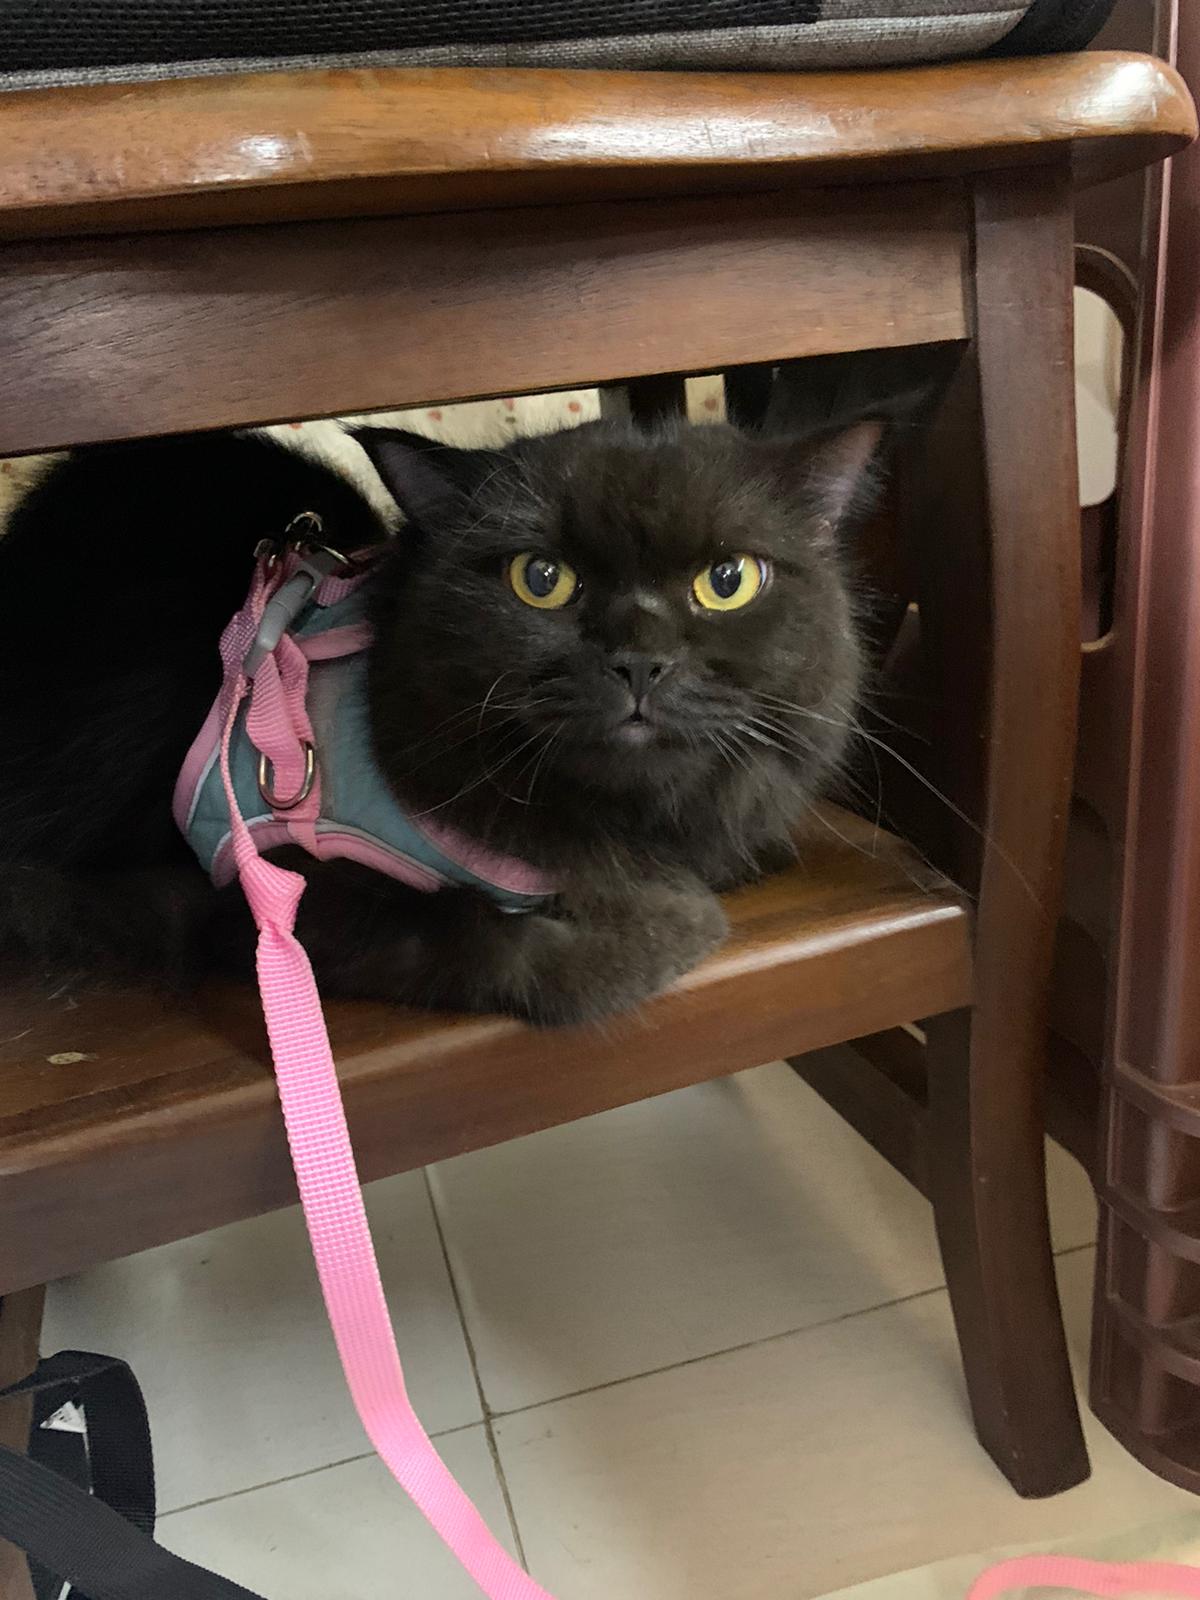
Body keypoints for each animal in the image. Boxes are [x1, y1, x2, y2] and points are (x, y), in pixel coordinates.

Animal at [0, 414, 880, 1026]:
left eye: (728, 580)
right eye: (541, 579)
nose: (638, 661)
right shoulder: (255, 896)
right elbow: (486, 936)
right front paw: (661, 930)